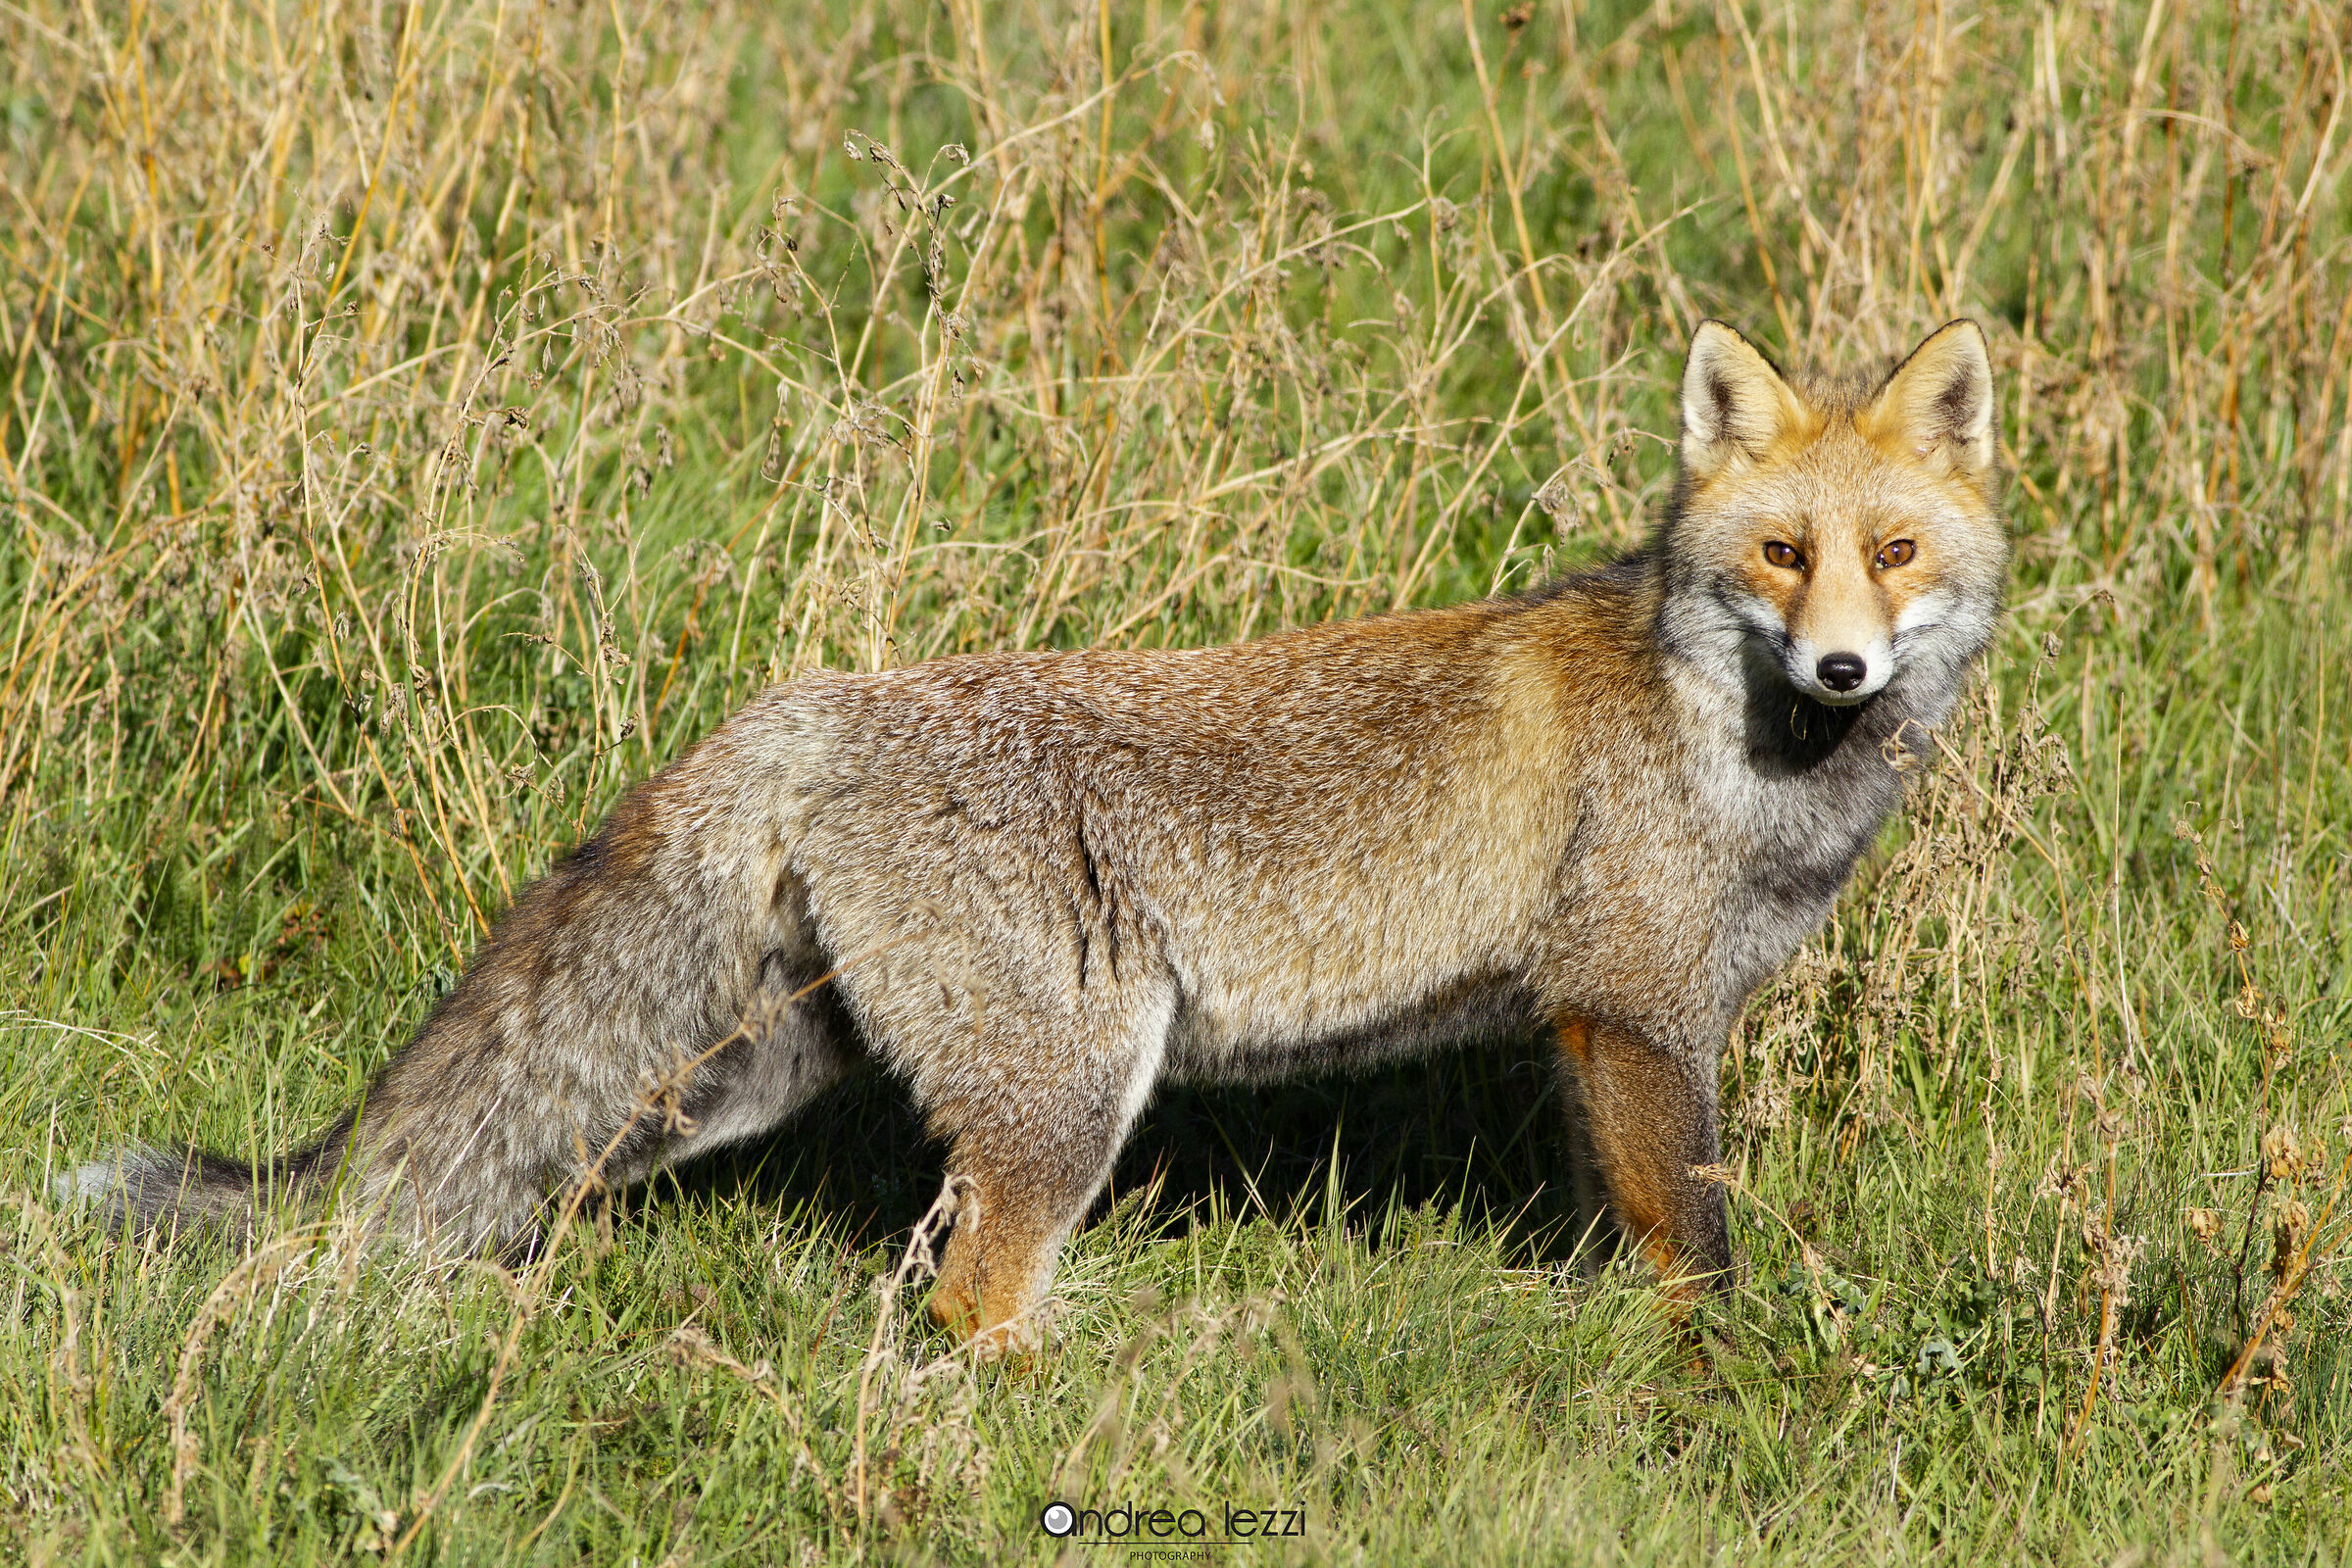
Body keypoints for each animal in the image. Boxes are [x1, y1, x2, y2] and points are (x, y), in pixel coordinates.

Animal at [66, 318, 2007, 1351]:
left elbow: (1639, 1223)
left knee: (511, 1177)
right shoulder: (1635, 1014)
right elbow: (1705, 1252)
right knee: (967, 1306)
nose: (1842, 663)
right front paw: (1719, 1377)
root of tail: (815, 702)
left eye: (1894, 554)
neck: (1732, 745)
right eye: (1781, 555)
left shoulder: (1611, 1032)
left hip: (742, 1078)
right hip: (1067, 1097)